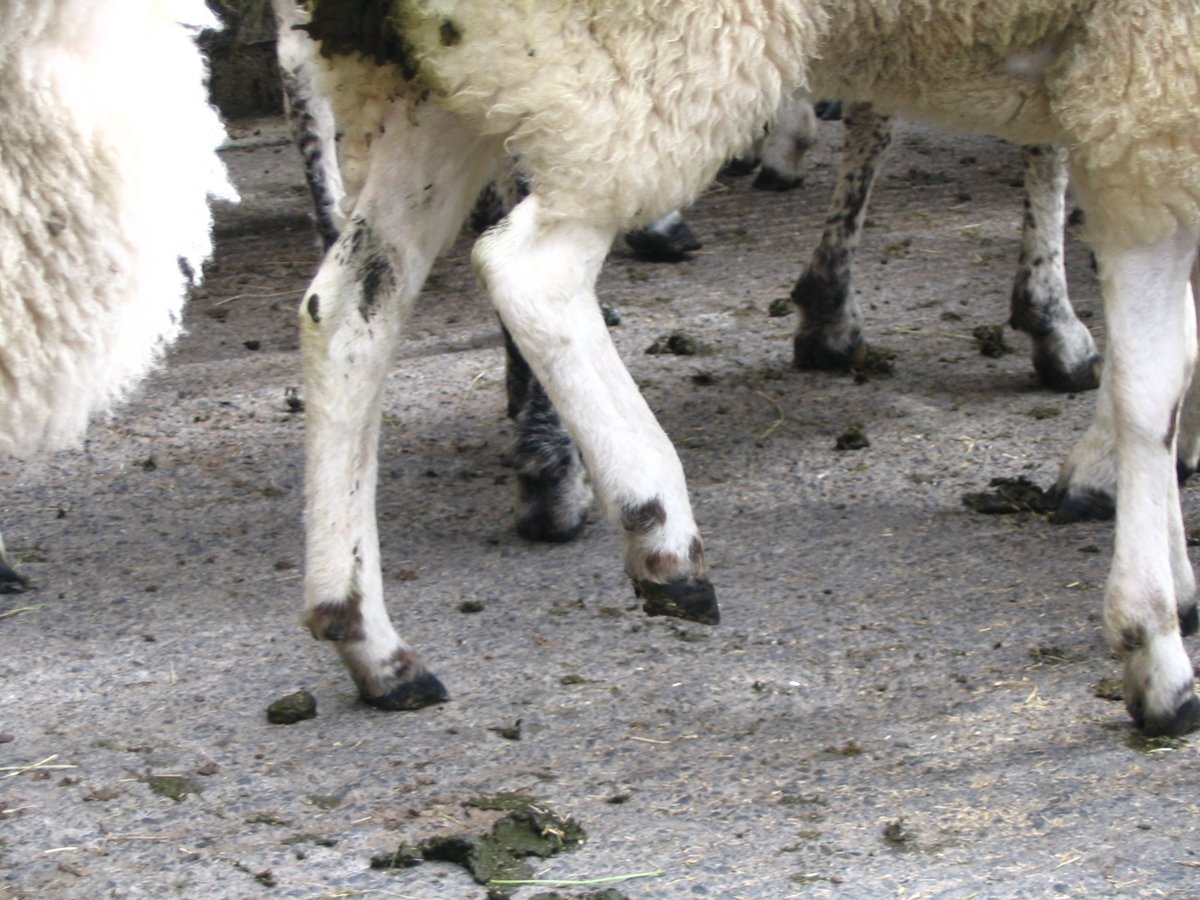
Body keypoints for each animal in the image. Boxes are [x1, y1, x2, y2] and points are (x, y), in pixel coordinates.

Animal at [297, 1, 1200, 735]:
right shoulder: (1148, 90)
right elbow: (1149, 385)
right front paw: (1155, 646)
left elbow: (1175, 358)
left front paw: (1177, 580)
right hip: (636, 54)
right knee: (530, 271)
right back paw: (658, 525)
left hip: (443, 70)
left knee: (349, 310)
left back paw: (368, 640)